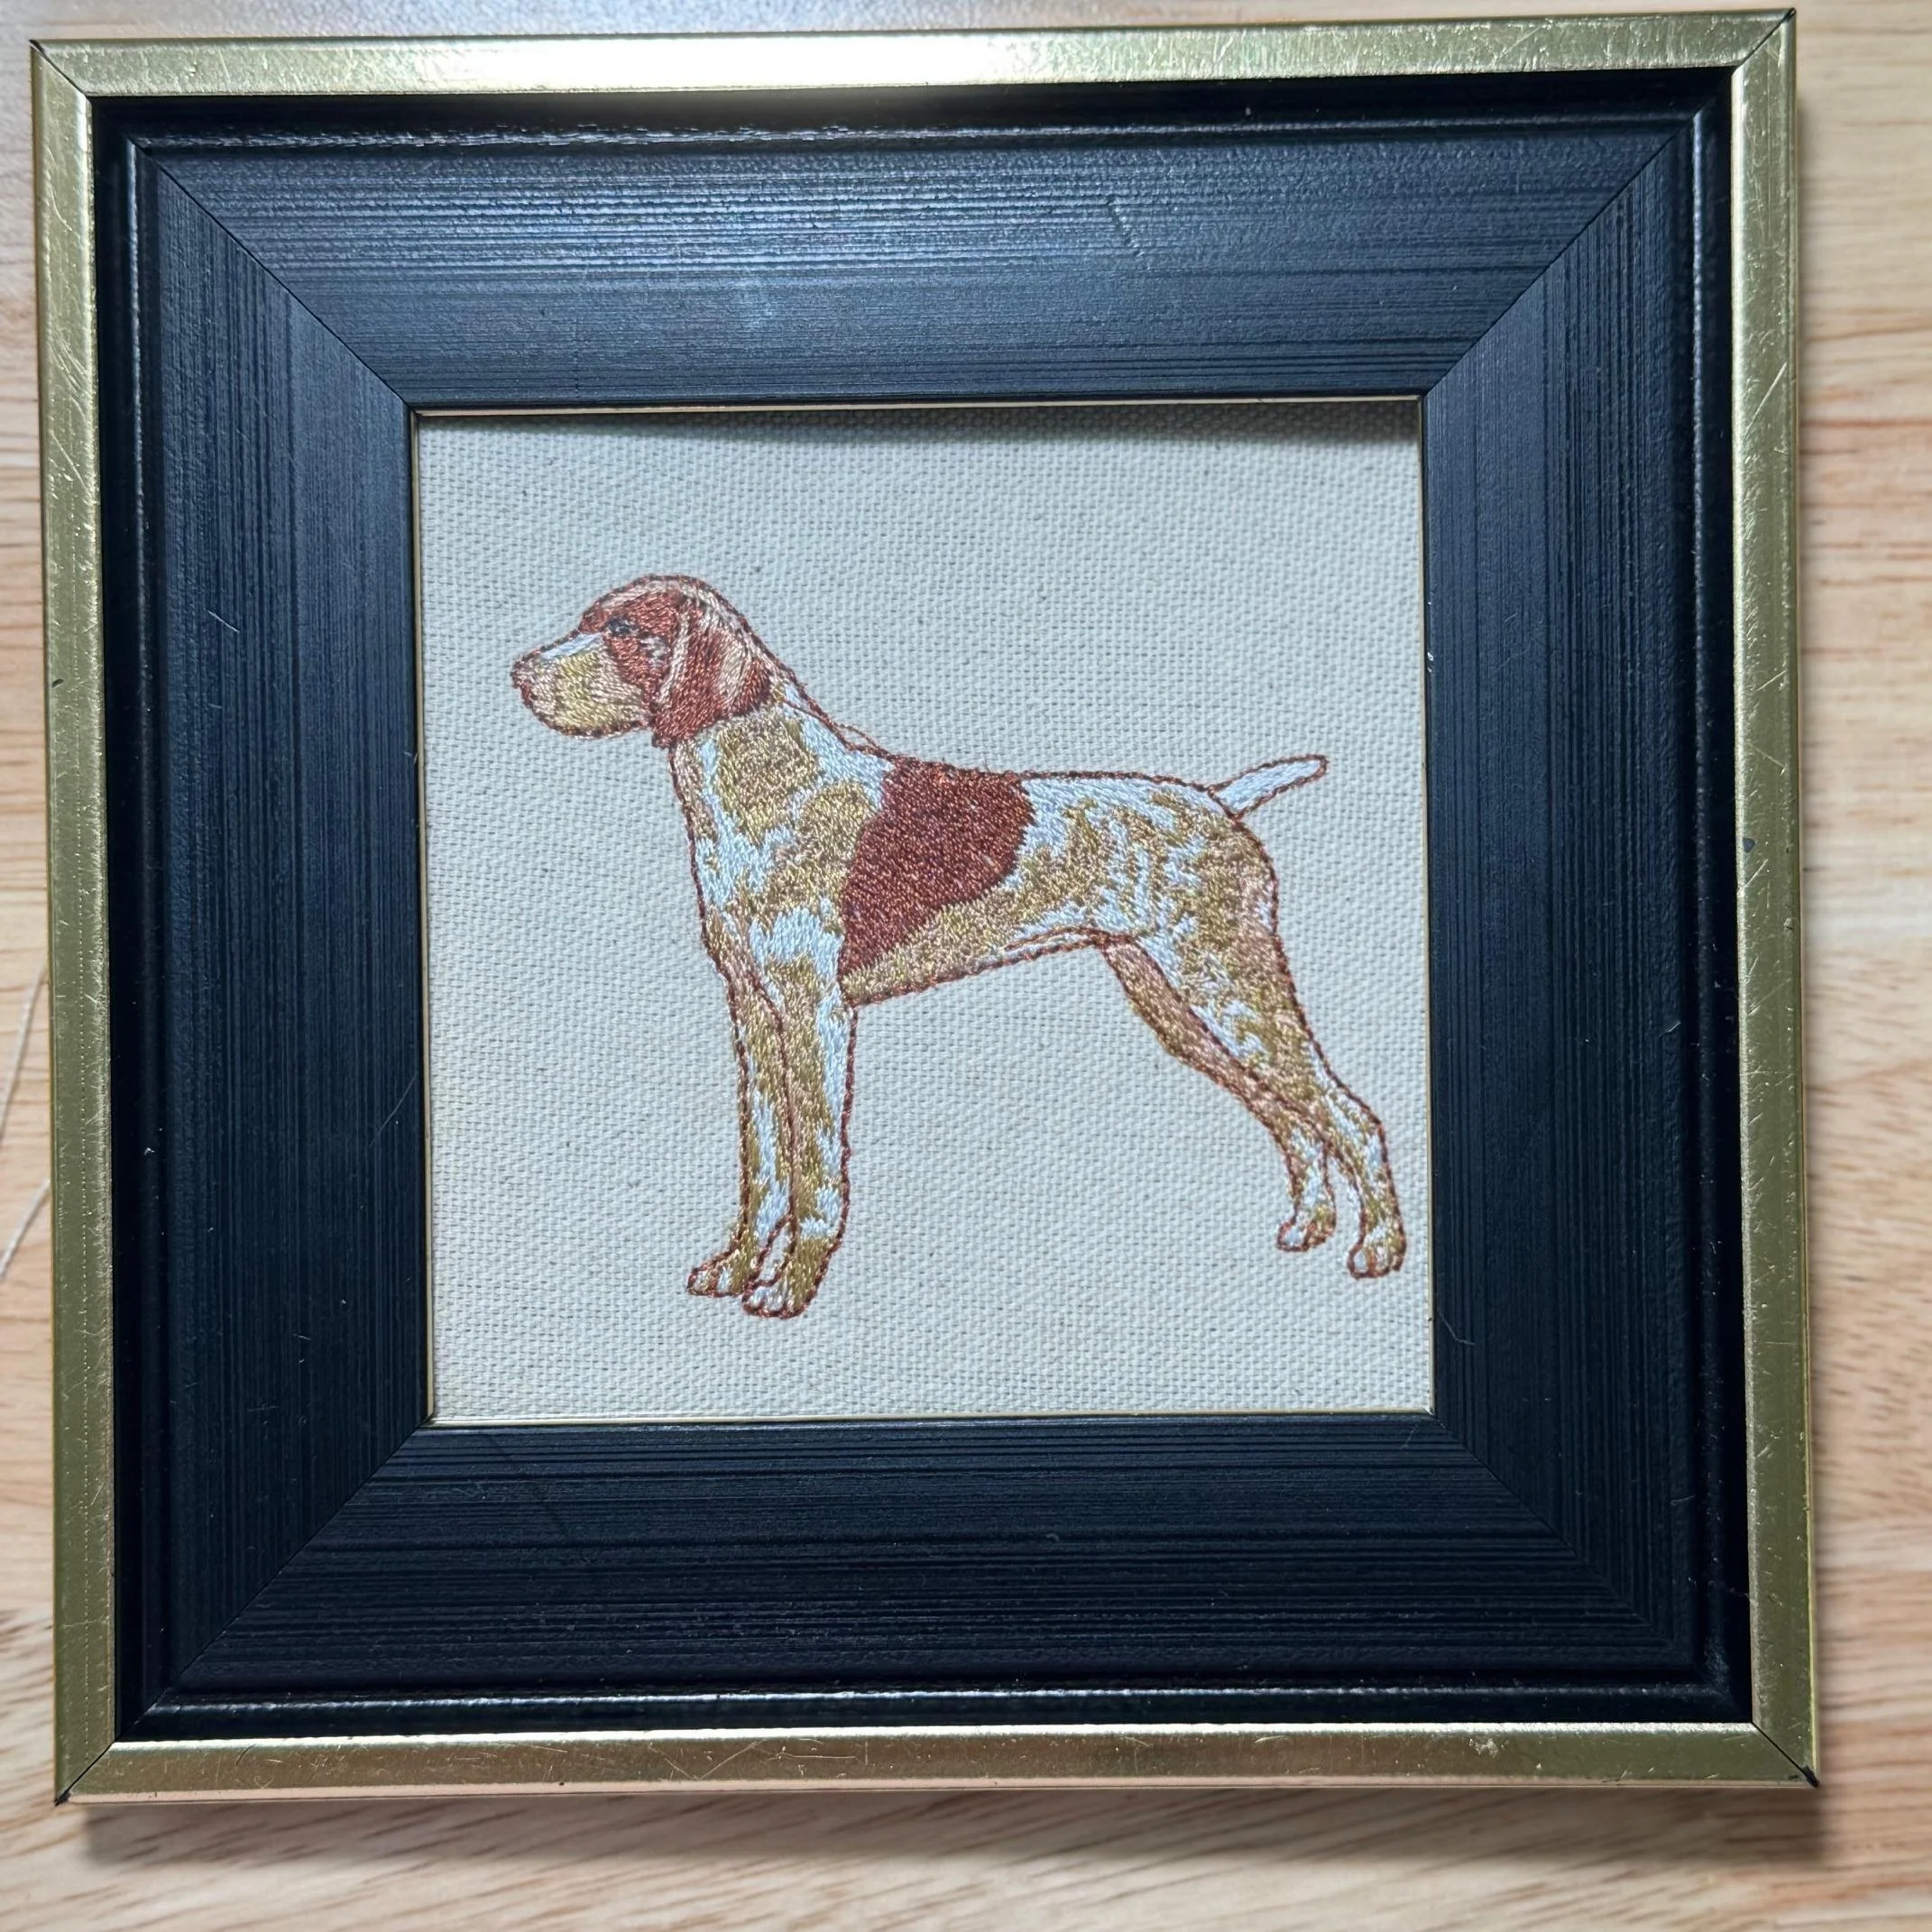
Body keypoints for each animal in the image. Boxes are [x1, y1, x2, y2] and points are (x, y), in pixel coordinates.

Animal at [513, 574, 1406, 1318]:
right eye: (590, 621)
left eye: (627, 631)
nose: (520, 673)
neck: (761, 786)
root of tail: (1221, 804)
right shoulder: (756, 1015)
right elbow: (765, 1165)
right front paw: (733, 1269)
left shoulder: (815, 1015)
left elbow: (815, 1171)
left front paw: (789, 1286)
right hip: (1180, 1006)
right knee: (1295, 1119)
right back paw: (1308, 1228)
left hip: (1231, 988)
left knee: (1350, 1115)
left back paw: (1380, 1249)